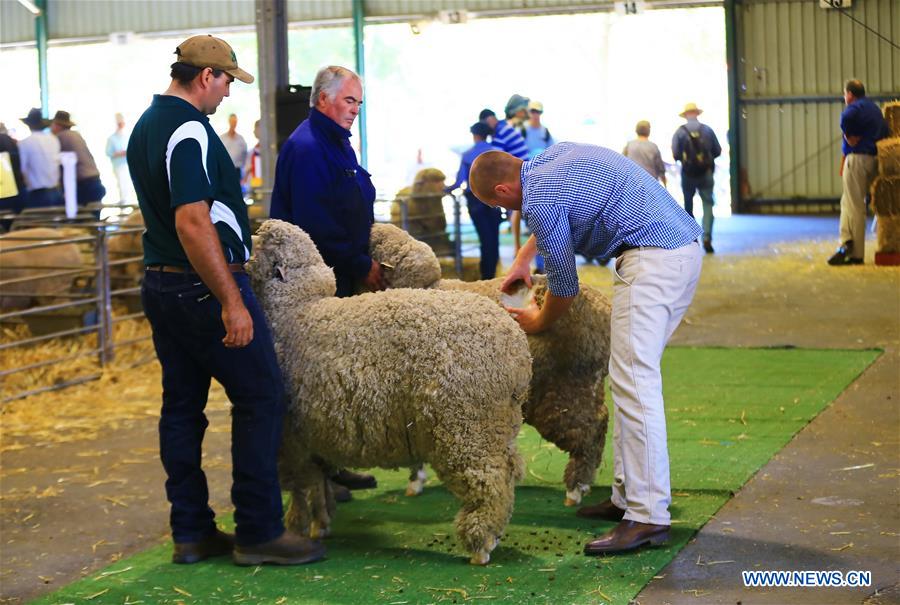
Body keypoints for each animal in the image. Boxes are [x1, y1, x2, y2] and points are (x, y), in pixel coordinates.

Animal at [246, 219, 532, 564]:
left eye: (261, 242)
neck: (294, 311)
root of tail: (517, 349)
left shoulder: (292, 440)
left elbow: (302, 489)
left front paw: (298, 526)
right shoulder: (315, 437)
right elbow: (319, 484)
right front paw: (322, 521)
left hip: (467, 427)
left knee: (489, 482)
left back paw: (480, 543)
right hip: (497, 425)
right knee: (509, 473)